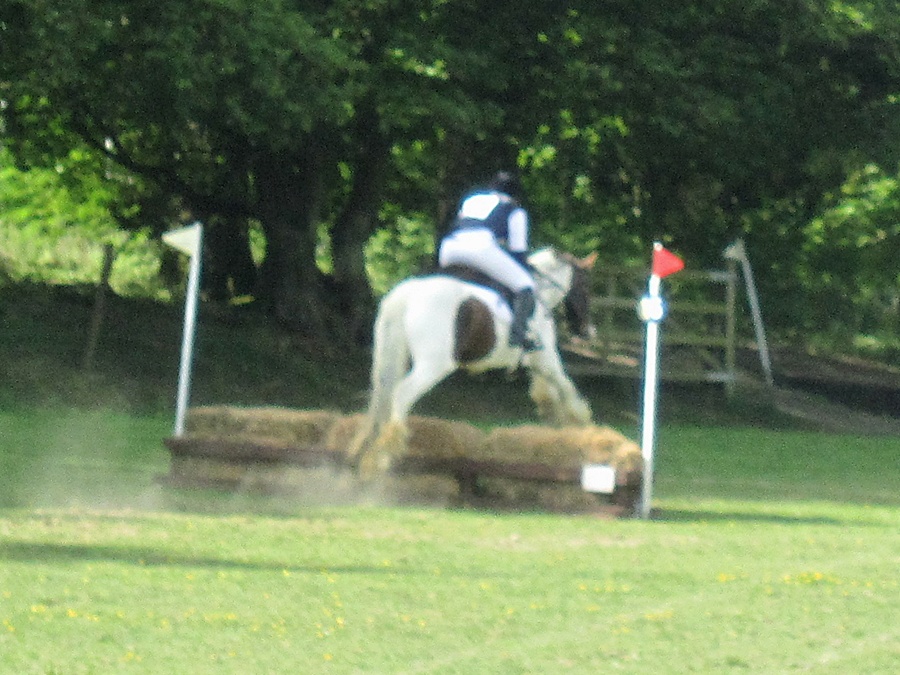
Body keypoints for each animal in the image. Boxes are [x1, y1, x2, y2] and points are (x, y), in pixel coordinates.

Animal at [349, 247, 597, 476]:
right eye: (585, 287)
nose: (588, 332)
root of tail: (408, 294)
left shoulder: (537, 361)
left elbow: (548, 392)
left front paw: (557, 423)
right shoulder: (547, 359)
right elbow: (566, 388)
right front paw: (582, 426)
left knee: (383, 396)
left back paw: (369, 453)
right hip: (434, 365)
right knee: (401, 394)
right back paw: (386, 453)